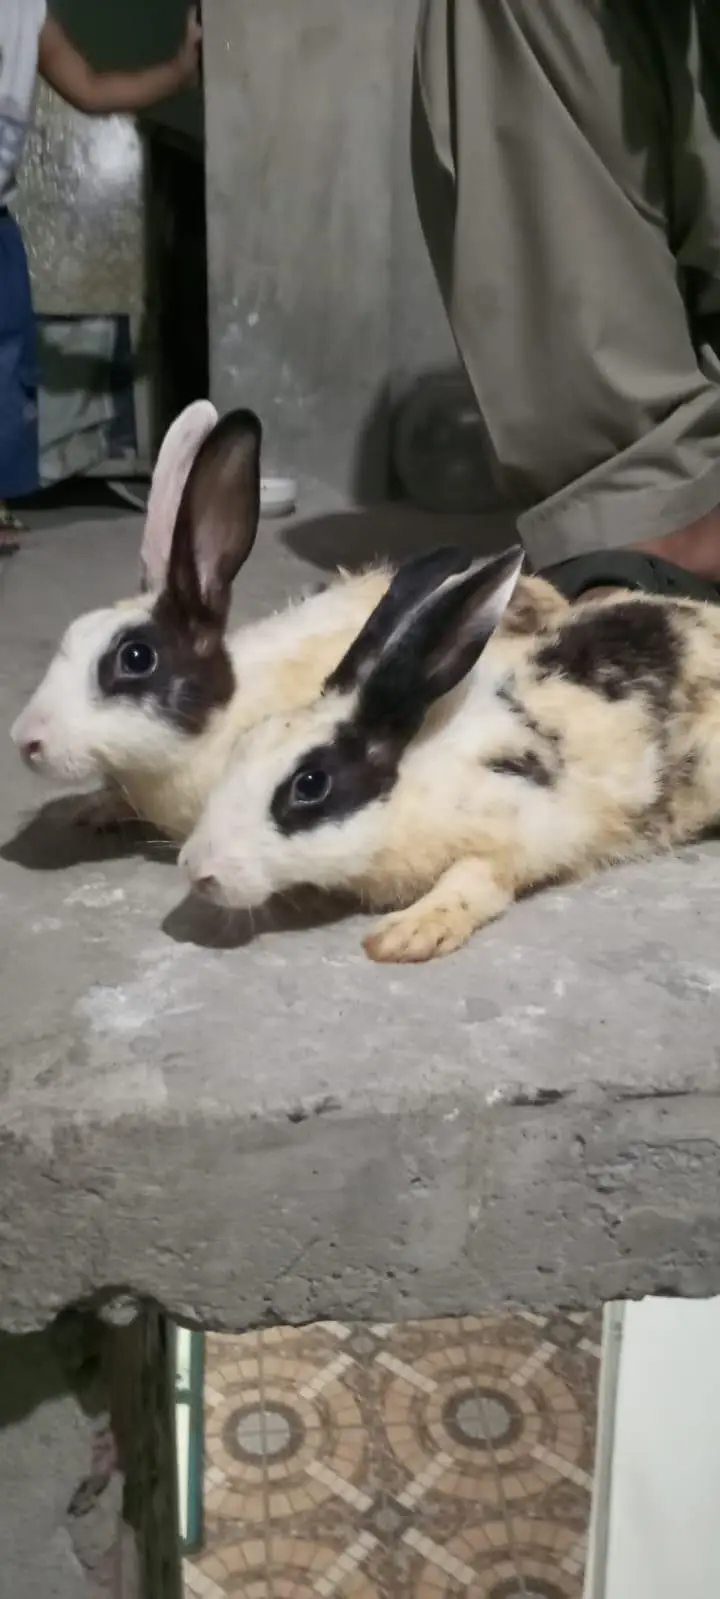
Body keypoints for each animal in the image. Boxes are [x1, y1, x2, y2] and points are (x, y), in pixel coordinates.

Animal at [179, 541, 720, 963]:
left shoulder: (523, 834)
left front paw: (405, 936)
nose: (195, 870)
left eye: (310, 785)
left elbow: (472, 883)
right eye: (246, 741)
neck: (415, 772)